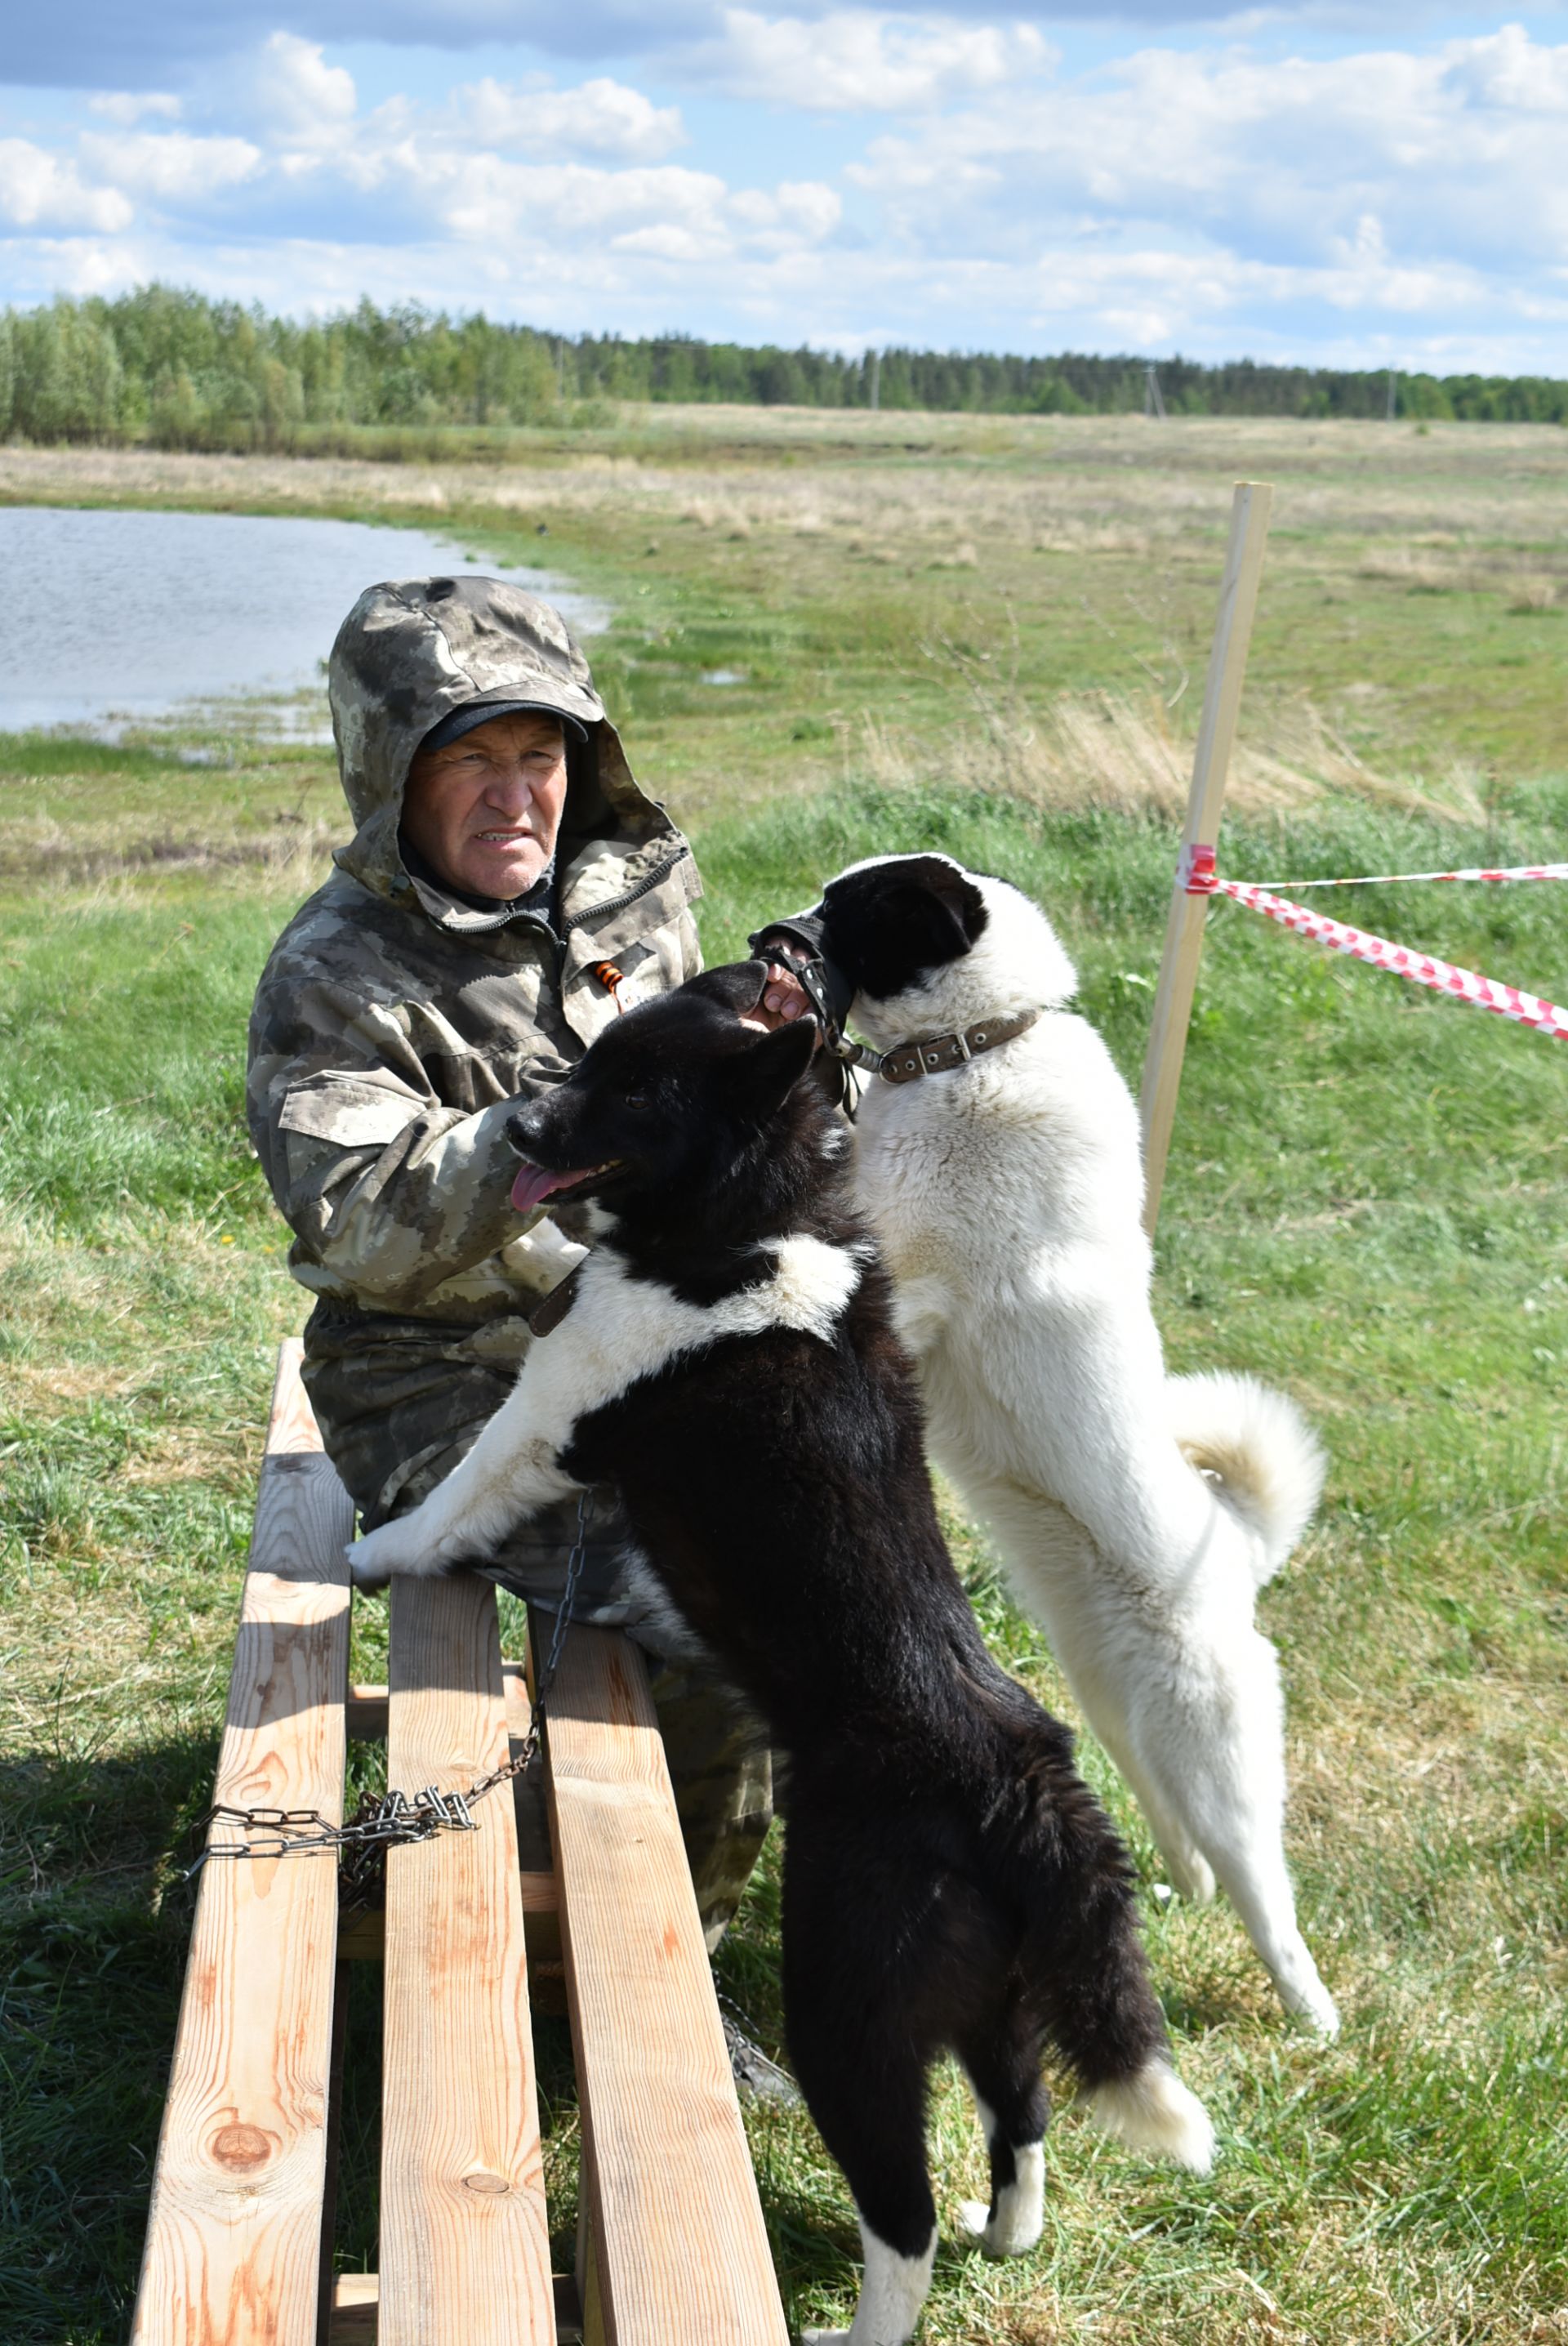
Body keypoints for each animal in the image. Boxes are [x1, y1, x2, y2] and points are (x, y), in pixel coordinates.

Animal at [354, 957, 1209, 2346]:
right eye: (590, 1059)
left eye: (634, 1090)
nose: (519, 1131)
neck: (746, 1221)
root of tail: (1023, 1783)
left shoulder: (548, 1415)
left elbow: (455, 1499)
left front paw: (374, 1553)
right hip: (992, 2000)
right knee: (1020, 2116)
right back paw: (1008, 2233)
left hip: (848, 2015)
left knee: (903, 2219)